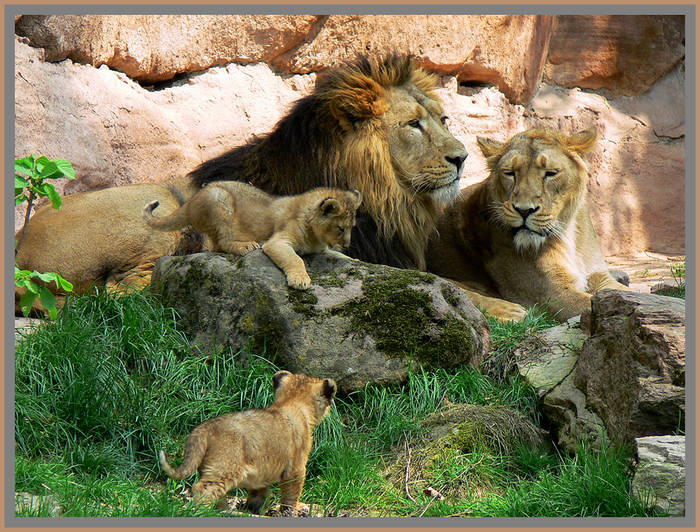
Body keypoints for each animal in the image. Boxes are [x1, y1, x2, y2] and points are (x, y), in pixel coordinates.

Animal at [142, 183, 360, 290]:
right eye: (341, 228)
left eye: (351, 227)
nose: (347, 244)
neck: (316, 237)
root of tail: (190, 202)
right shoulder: (277, 242)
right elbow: (295, 259)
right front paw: (300, 280)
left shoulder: (323, 249)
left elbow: (339, 256)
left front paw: (353, 258)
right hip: (219, 200)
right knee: (223, 243)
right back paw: (245, 246)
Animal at [160, 370, 334, 516]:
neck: (291, 403)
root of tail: (205, 427)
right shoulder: (296, 468)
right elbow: (291, 494)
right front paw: (290, 511)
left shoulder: (262, 473)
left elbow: (259, 494)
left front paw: (254, 510)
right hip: (225, 466)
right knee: (203, 488)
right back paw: (204, 511)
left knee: (218, 493)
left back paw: (222, 509)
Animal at [426, 127, 628, 322]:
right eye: (510, 173)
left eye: (550, 173)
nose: (524, 210)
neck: (568, 232)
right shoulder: (551, 295)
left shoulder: (599, 277)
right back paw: (511, 312)